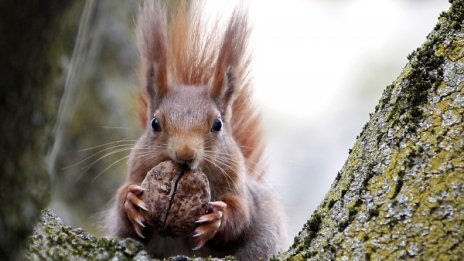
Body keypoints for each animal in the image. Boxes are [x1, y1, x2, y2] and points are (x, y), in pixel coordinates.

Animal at [105, 1, 286, 258]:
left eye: (218, 124)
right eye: (155, 123)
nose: (185, 153)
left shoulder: (239, 187)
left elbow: (240, 216)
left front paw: (216, 218)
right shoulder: (137, 170)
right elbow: (123, 222)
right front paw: (130, 202)